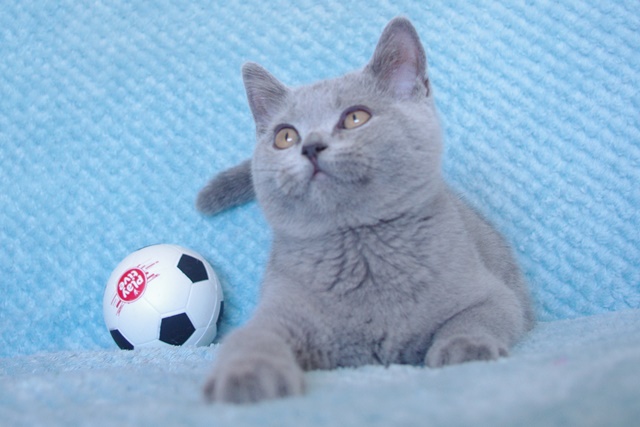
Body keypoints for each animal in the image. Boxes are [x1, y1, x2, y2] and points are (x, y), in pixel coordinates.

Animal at [197, 17, 535, 404]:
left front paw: (466, 349)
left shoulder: (494, 296)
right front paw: (247, 377)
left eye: (355, 118)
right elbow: (253, 338)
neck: (362, 251)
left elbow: (476, 318)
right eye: (285, 137)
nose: (311, 146)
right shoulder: (277, 311)